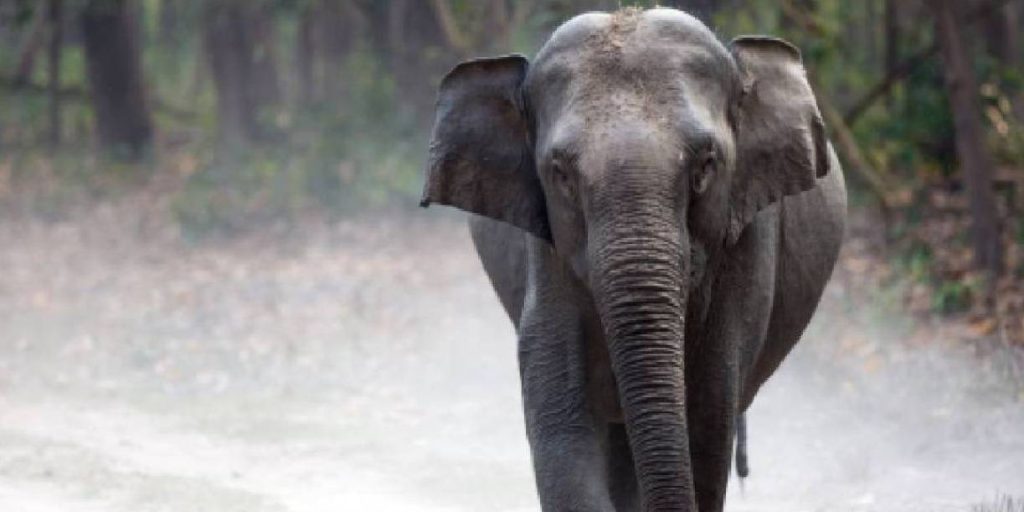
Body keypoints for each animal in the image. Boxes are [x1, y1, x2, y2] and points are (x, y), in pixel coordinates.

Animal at [420, 7, 846, 512]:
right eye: (560, 173)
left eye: (706, 165)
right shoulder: (548, 252)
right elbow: (562, 417)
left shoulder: (744, 243)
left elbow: (707, 422)